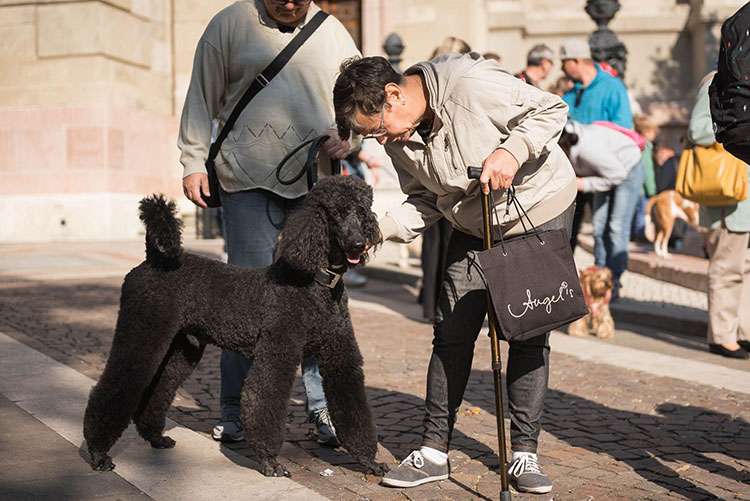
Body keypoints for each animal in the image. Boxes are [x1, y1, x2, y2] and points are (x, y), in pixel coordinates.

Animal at [83, 175, 388, 479]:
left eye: (362, 212)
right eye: (337, 213)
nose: (358, 244)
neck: (315, 281)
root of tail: (153, 258)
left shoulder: (339, 355)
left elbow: (354, 405)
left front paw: (368, 461)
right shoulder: (277, 353)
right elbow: (262, 399)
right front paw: (270, 462)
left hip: (182, 348)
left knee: (160, 387)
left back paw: (155, 438)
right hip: (142, 332)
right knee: (116, 384)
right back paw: (98, 452)